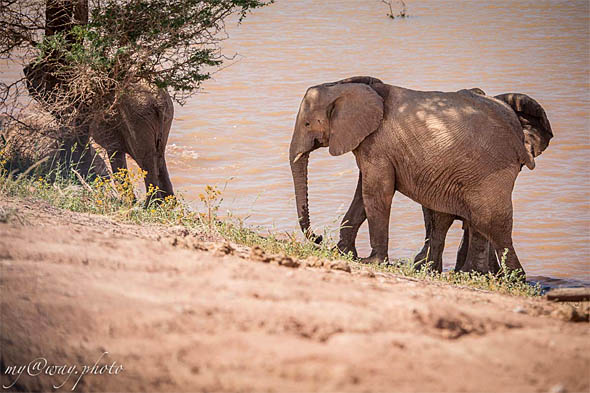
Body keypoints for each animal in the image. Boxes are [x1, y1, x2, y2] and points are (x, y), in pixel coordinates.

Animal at [23, 64, 176, 201]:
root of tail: (158, 102)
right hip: (161, 118)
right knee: (158, 158)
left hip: (138, 117)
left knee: (145, 160)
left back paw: (148, 205)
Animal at [290, 76, 556, 278]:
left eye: (306, 124)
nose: (317, 237)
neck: (342, 84)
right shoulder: (370, 146)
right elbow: (362, 195)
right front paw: (343, 254)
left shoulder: (378, 145)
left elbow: (376, 194)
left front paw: (371, 262)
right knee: (473, 221)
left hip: (490, 170)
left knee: (490, 222)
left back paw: (512, 280)